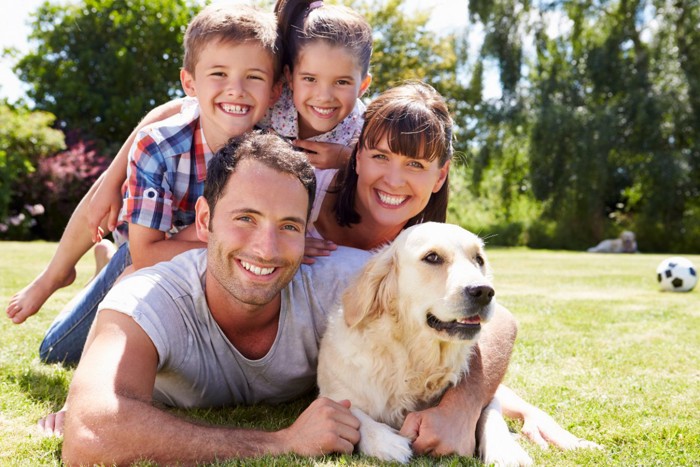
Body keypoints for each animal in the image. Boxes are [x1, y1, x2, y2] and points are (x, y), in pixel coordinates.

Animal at [318, 222, 532, 464]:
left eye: (479, 259)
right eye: (432, 257)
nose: (484, 291)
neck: (415, 360)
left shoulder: (489, 398)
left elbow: (490, 412)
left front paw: (506, 450)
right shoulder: (334, 391)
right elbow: (350, 412)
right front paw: (386, 442)